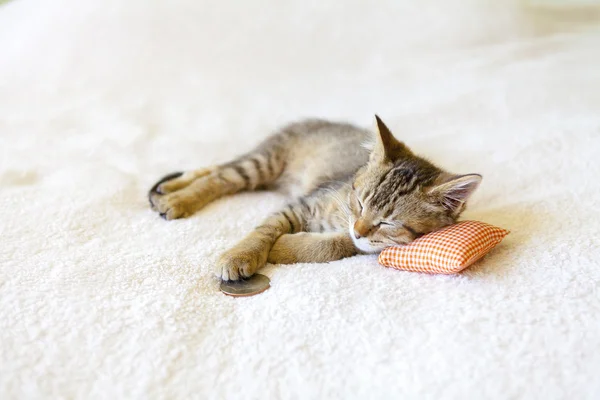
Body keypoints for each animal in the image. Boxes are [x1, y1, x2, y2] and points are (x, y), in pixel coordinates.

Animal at [150, 115, 482, 280]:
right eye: (359, 202)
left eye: (388, 222)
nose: (359, 228)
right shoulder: (302, 204)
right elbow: (264, 229)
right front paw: (241, 255)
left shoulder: (354, 240)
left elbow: (334, 245)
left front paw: (281, 249)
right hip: (263, 163)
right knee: (219, 176)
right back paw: (175, 197)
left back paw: (170, 190)